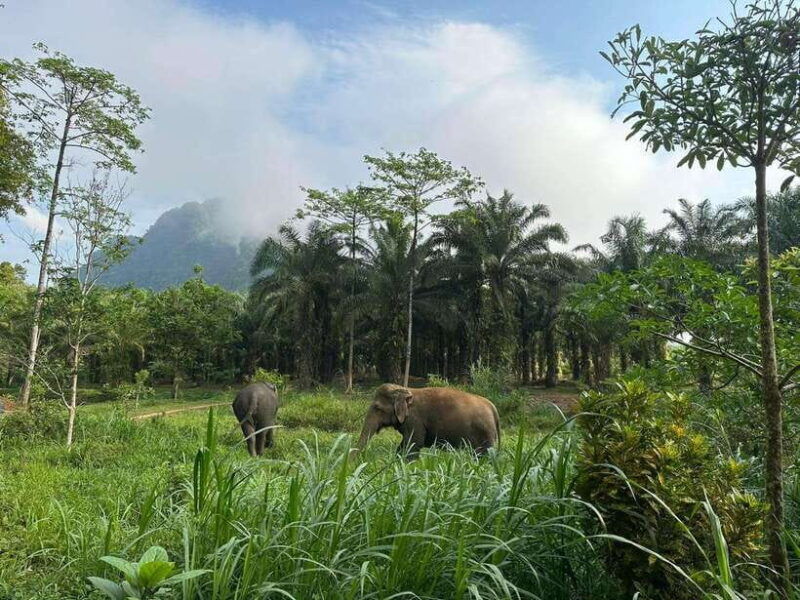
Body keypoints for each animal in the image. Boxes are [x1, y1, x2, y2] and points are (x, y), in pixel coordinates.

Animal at [355, 383, 500, 459]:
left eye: (377, 408)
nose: (353, 464)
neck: (406, 390)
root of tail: (493, 407)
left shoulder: (414, 420)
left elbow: (414, 444)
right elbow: (403, 445)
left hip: (484, 433)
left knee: (483, 454)